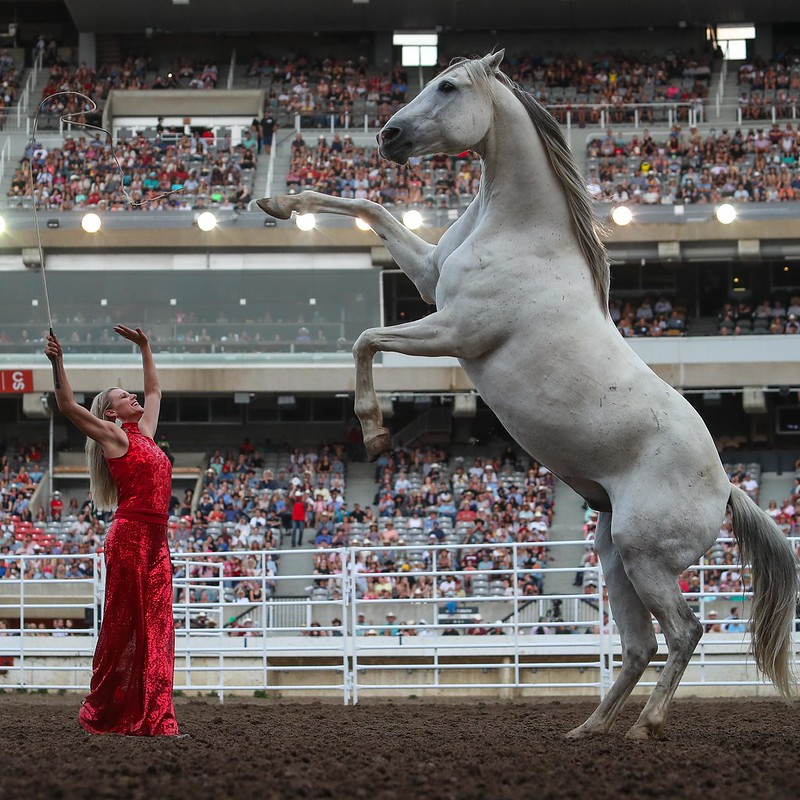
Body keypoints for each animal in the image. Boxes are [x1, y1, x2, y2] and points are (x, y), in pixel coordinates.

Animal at [260, 48, 796, 736]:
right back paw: (590, 728)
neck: (521, 232)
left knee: (683, 631)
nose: (388, 136)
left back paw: (645, 725)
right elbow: (373, 208)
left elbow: (365, 340)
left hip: (645, 558)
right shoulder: (430, 277)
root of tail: (728, 486)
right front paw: (278, 201)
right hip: (614, 556)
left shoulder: (455, 330)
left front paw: (375, 432)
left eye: (448, 86)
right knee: (640, 643)